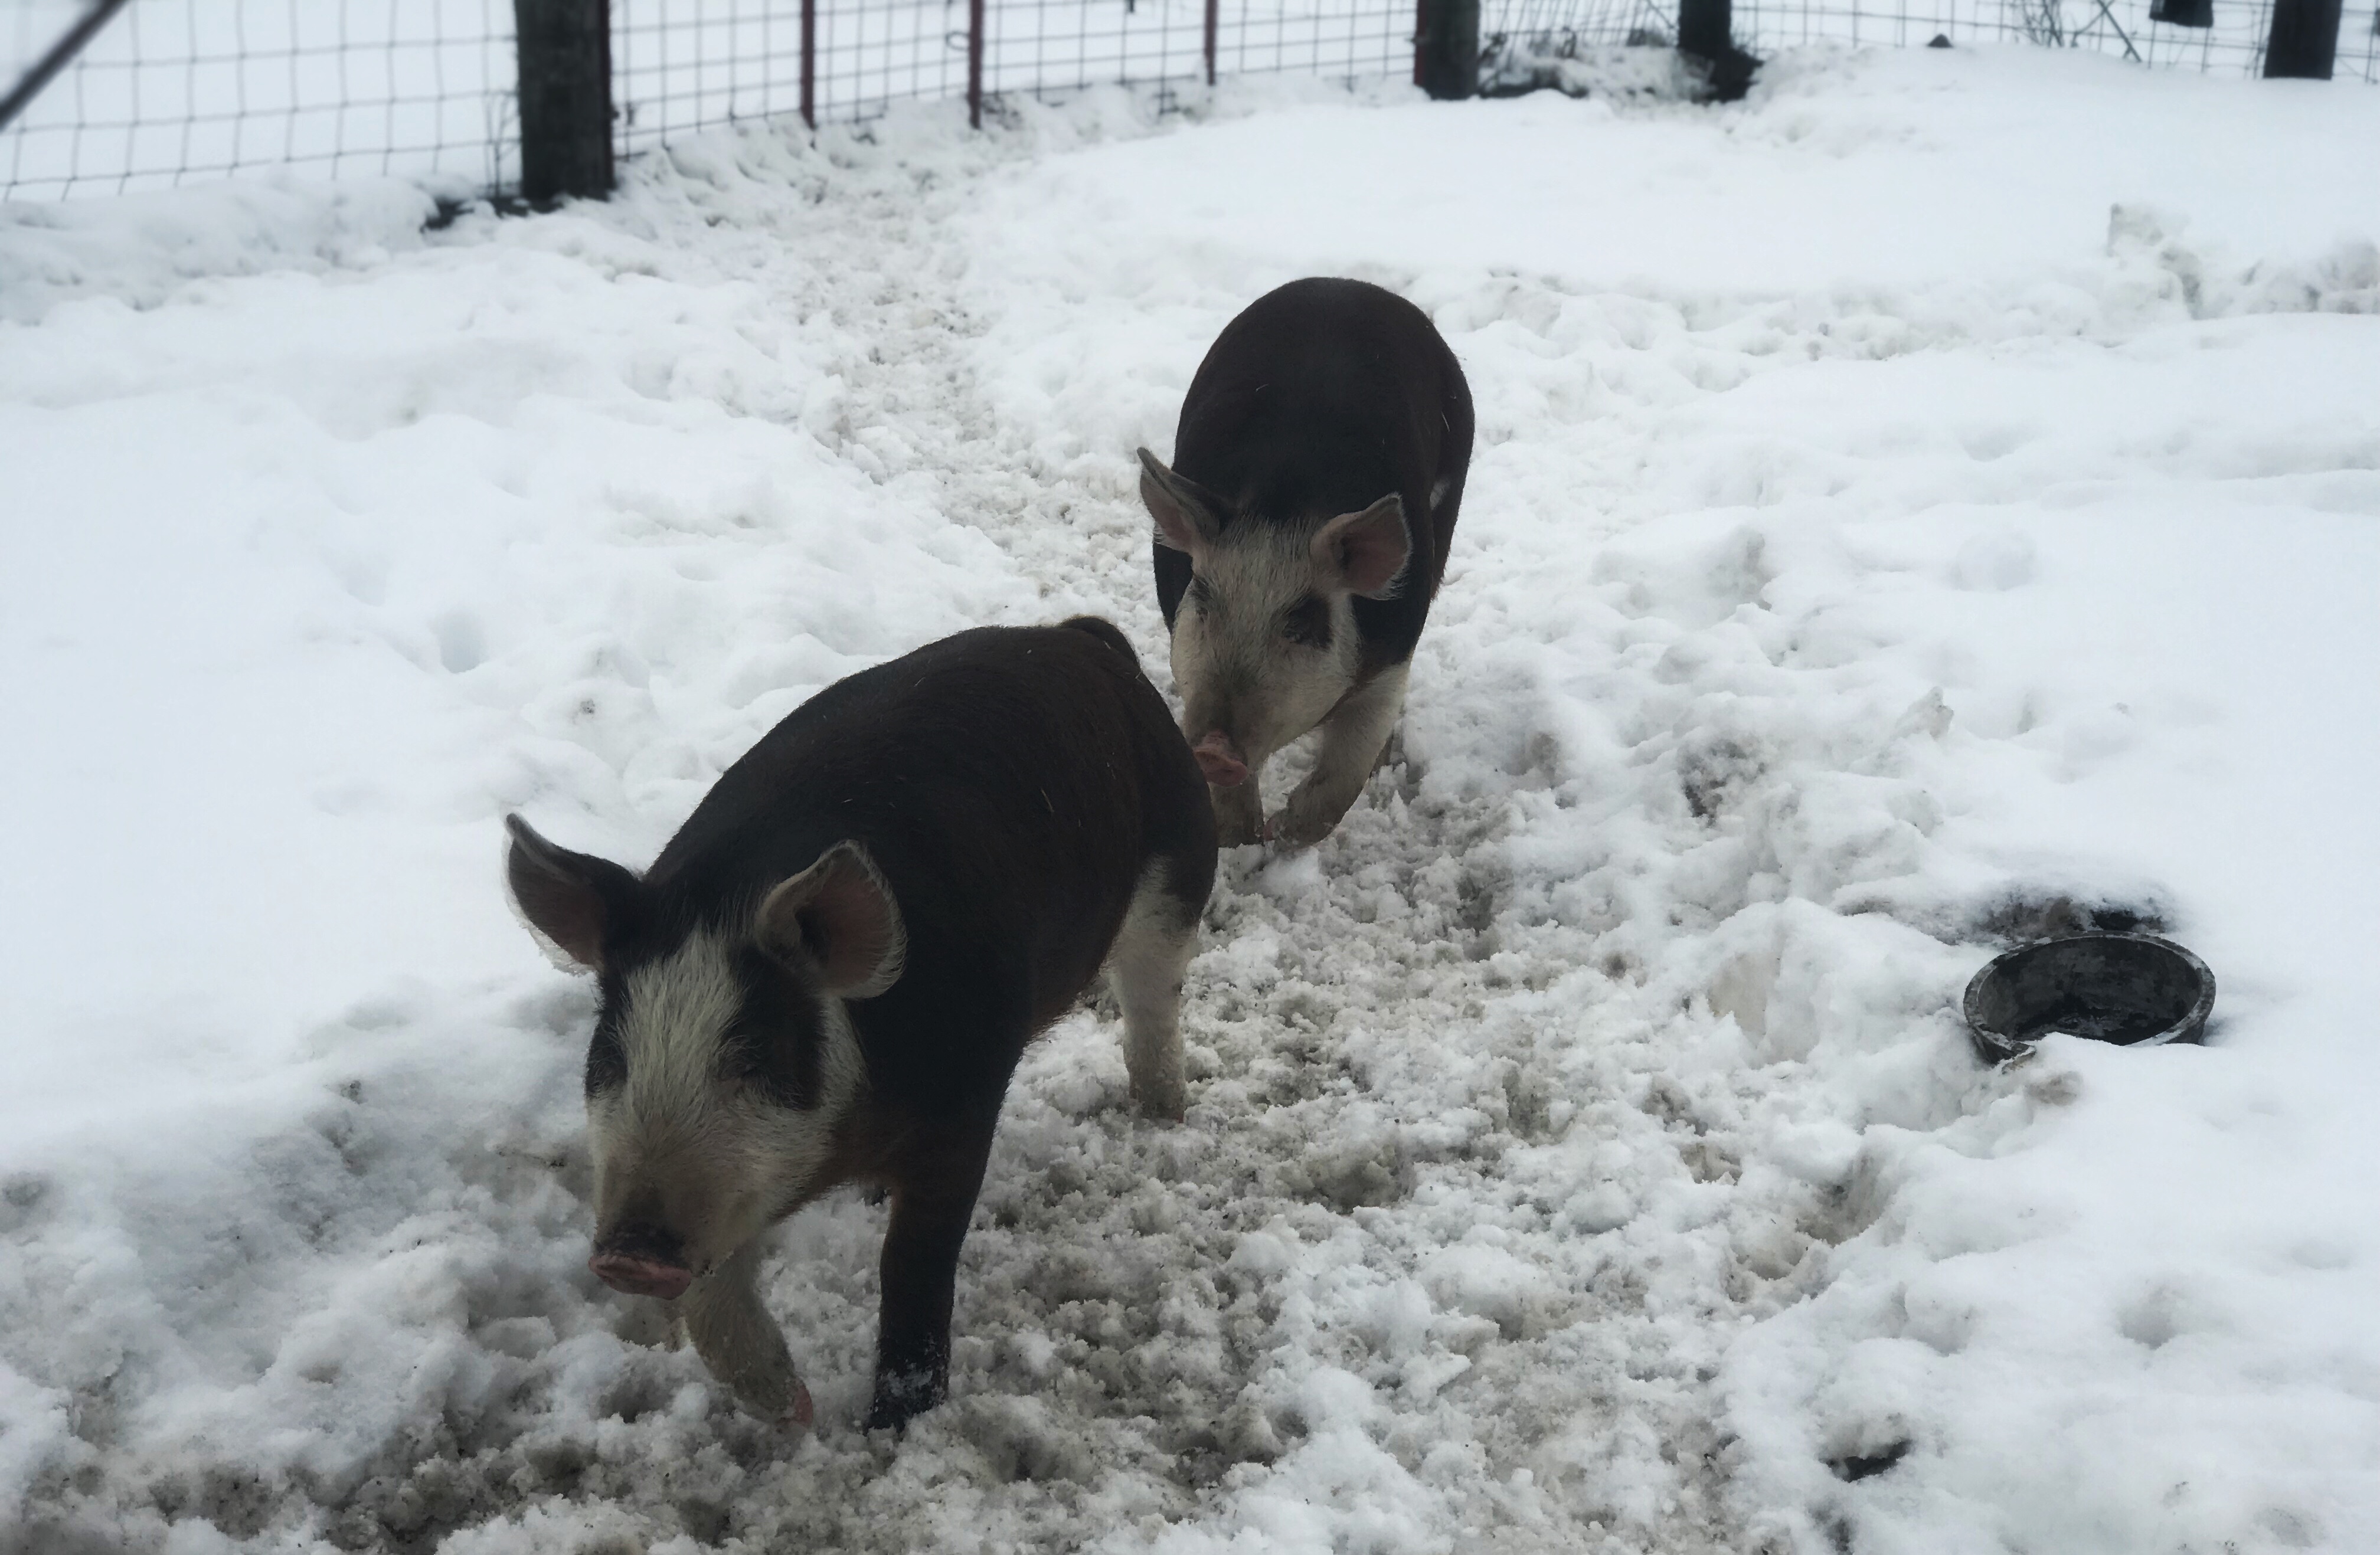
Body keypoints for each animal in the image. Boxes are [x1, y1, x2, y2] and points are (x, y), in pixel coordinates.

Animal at [503, 618, 1216, 1432]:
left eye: (754, 1057)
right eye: (613, 1056)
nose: (626, 1254)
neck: (840, 1151)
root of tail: (1079, 639)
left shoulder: (965, 1101)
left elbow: (913, 1263)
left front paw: (893, 1427)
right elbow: (712, 1297)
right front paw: (793, 1411)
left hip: (1179, 868)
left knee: (1154, 1000)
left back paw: (1164, 1115)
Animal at [1137, 276, 1474, 847]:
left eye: (1303, 622)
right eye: (1202, 599)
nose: (1212, 749)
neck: (1286, 505)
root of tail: (1345, 285)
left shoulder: (1392, 656)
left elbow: (1345, 774)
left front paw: (1283, 835)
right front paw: (1245, 838)